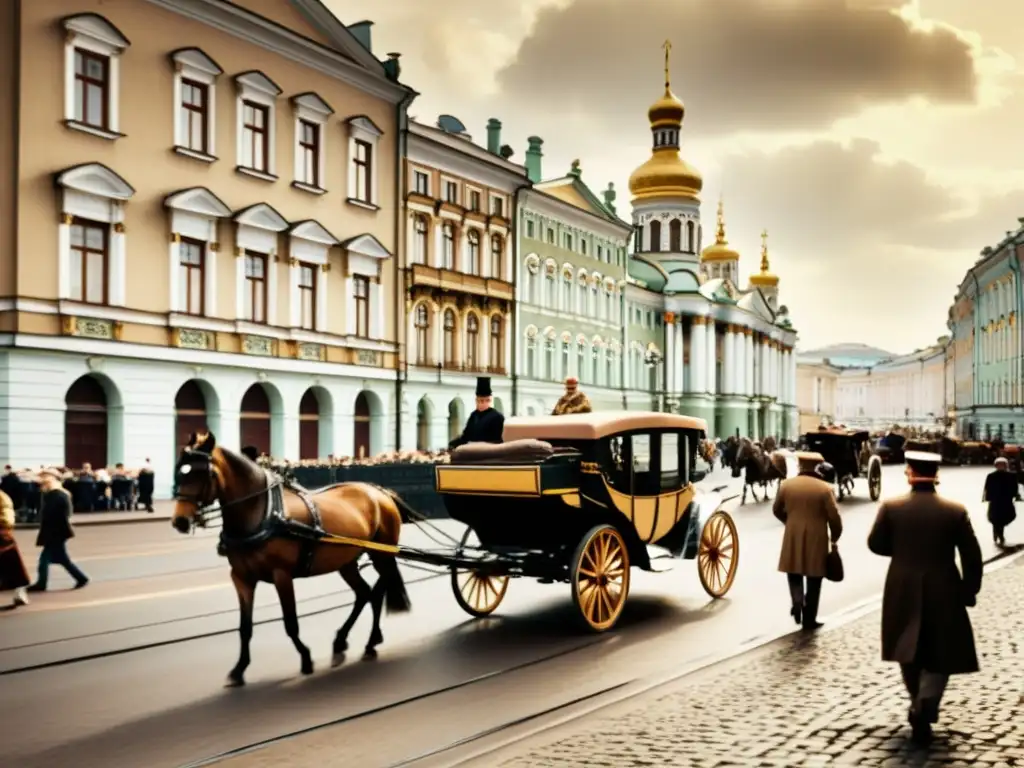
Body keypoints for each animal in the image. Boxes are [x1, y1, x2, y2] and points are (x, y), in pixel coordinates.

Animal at [169, 434, 409, 692]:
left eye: (203, 473)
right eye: (180, 471)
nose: (180, 521)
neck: (262, 514)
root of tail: (380, 491)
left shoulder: (281, 575)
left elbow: (290, 622)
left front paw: (305, 657)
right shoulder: (242, 578)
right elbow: (245, 627)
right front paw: (239, 669)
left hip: (382, 555)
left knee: (378, 589)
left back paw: (370, 642)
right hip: (347, 562)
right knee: (366, 593)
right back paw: (342, 642)